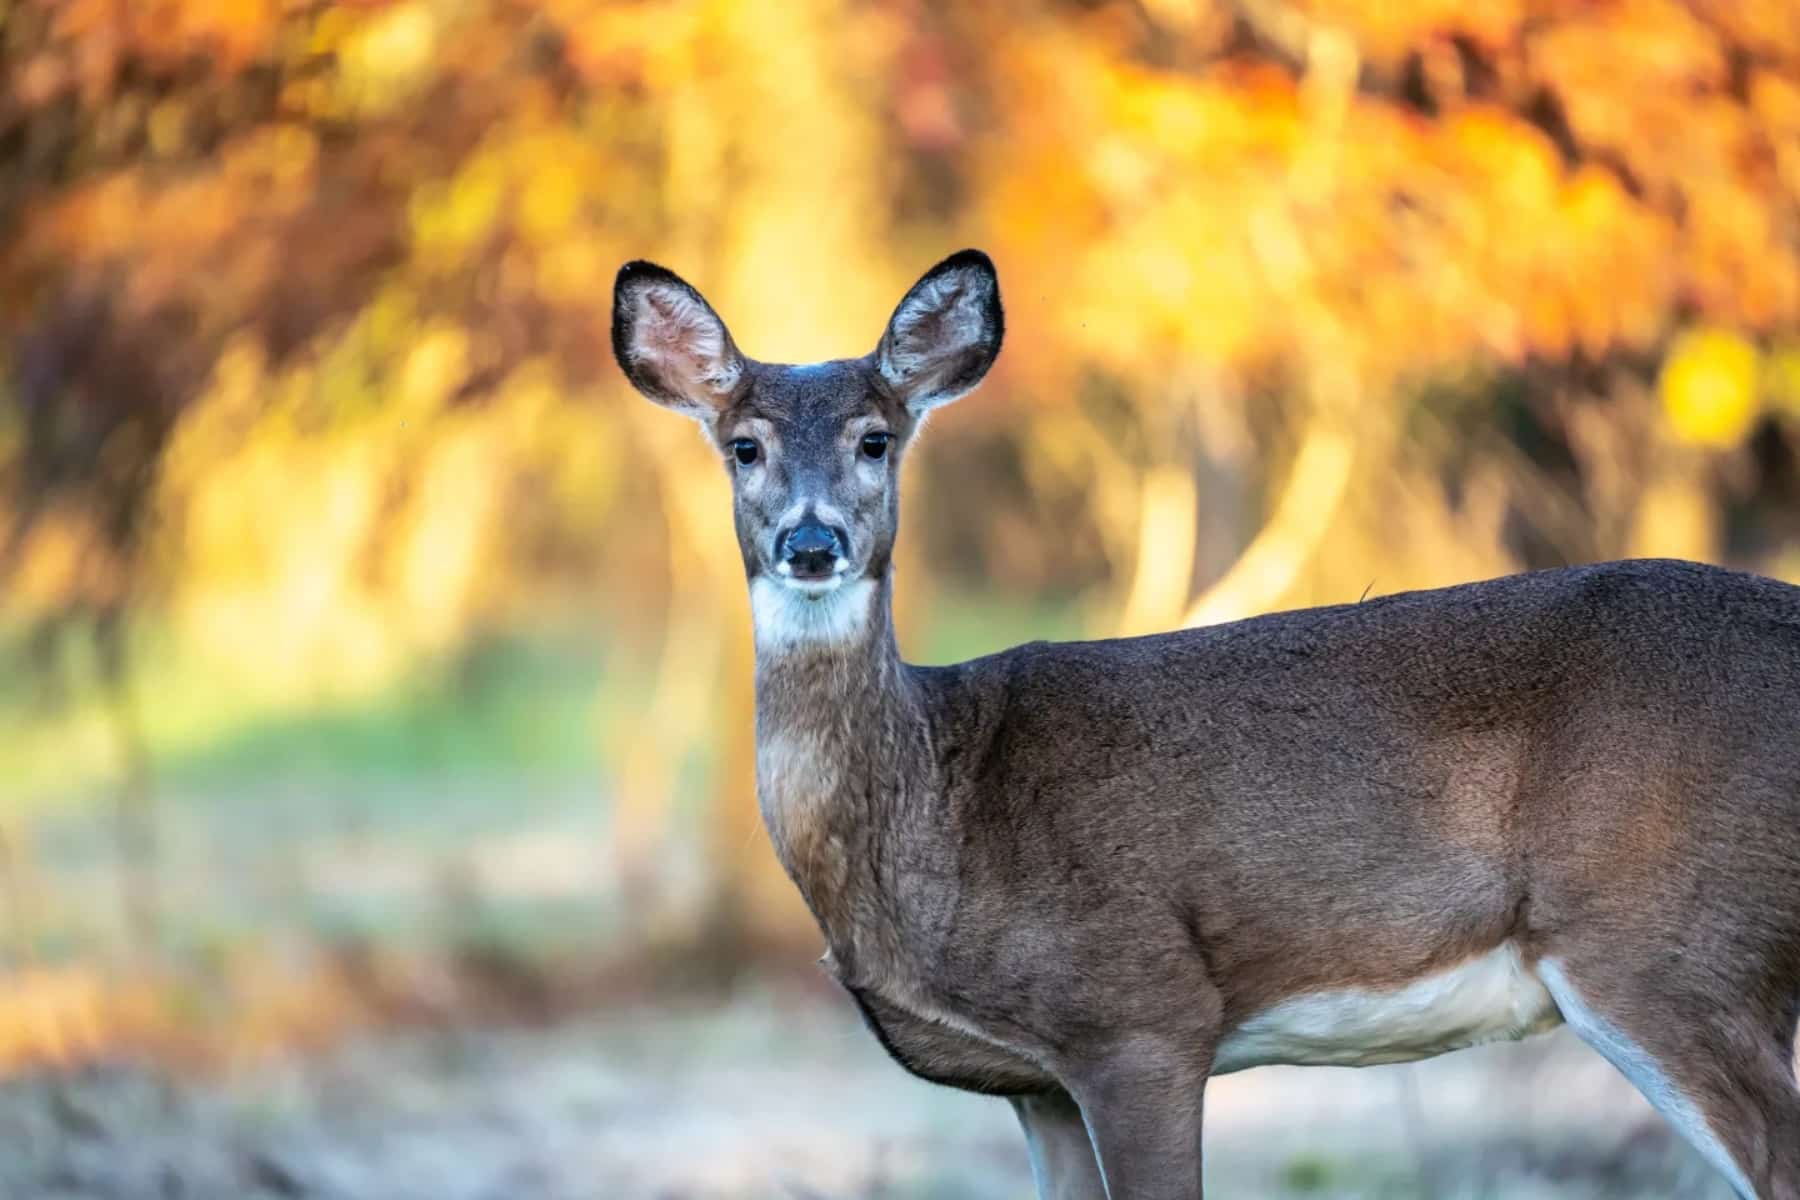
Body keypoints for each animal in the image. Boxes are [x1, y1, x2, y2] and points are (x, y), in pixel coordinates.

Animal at [608, 248, 1800, 1194]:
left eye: (874, 439)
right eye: (745, 446)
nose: (812, 544)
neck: (939, 807)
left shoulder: (1141, 1010)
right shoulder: (1035, 1083)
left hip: (1668, 941)